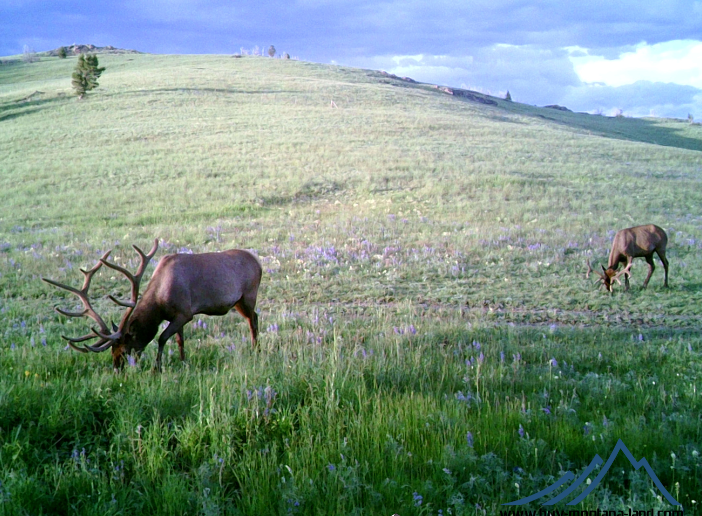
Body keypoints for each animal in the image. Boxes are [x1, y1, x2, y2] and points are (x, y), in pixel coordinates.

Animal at [44, 240, 264, 372]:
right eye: (112, 350)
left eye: (124, 349)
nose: (117, 369)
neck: (159, 303)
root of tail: (258, 262)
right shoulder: (178, 317)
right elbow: (180, 340)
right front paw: (183, 361)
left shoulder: (185, 313)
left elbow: (162, 338)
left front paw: (157, 368)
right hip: (239, 302)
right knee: (254, 318)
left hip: (248, 295)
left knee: (254, 318)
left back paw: (256, 350)